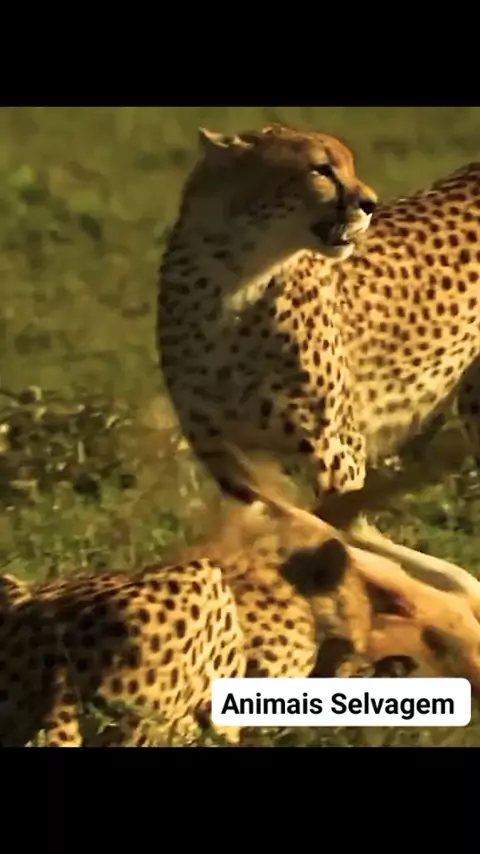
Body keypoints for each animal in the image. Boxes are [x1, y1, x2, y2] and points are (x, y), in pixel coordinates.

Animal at [156, 122, 480, 576]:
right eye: (320, 169)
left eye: (349, 165)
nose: (369, 204)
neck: (234, 282)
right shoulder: (233, 466)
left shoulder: (337, 455)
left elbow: (345, 533)